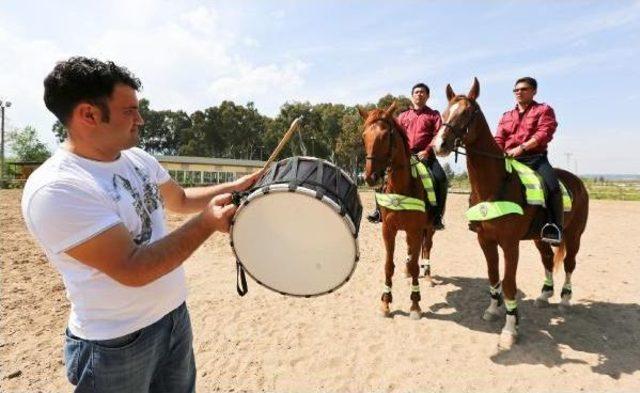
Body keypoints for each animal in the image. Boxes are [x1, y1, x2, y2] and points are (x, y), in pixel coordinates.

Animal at [358, 102, 438, 316]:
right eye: (364, 135)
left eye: (386, 135)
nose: (370, 177)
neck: (402, 187)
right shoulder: (389, 230)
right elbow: (388, 265)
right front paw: (386, 302)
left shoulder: (416, 230)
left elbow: (415, 264)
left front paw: (415, 304)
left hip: (429, 229)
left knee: (426, 249)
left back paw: (427, 275)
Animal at [432, 78, 588, 348]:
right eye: (444, 112)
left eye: (467, 113)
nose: (439, 144)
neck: (496, 185)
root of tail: (577, 182)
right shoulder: (485, 240)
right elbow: (493, 276)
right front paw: (493, 310)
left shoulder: (509, 243)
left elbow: (509, 283)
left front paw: (509, 329)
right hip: (540, 237)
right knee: (548, 259)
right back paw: (544, 295)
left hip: (574, 235)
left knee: (569, 263)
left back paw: (565, 299)